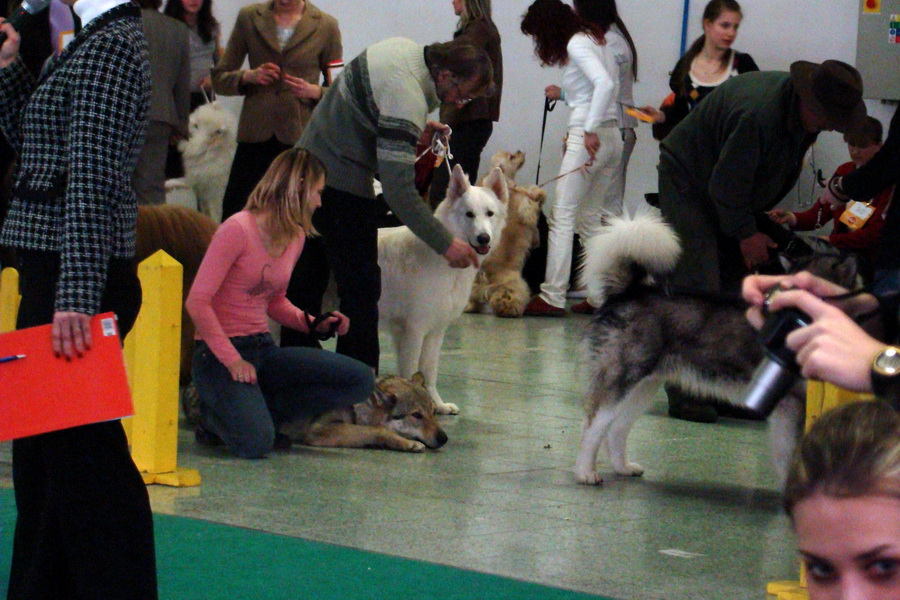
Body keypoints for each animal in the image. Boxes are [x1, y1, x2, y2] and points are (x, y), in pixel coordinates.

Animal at [278, 372, 446, 452]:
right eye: (417, 415)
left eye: (434, 412)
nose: (444, 439)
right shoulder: (319, 429)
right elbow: (376, 430)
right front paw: (409, 443)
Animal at [378, 165, 510, 418]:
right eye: (469, 214)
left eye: (489, 213)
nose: (484, 238)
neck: (441, 256)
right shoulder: (414, 330)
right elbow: (410, 372)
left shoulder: (436, 331)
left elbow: (428, 372)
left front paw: (437, 404)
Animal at [468, 150, 544, 316]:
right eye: (512, 157)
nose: (521, 151)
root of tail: (486, 278)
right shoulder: (526, 208)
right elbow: (534, 197)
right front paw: (539, 193)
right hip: (512, 284)